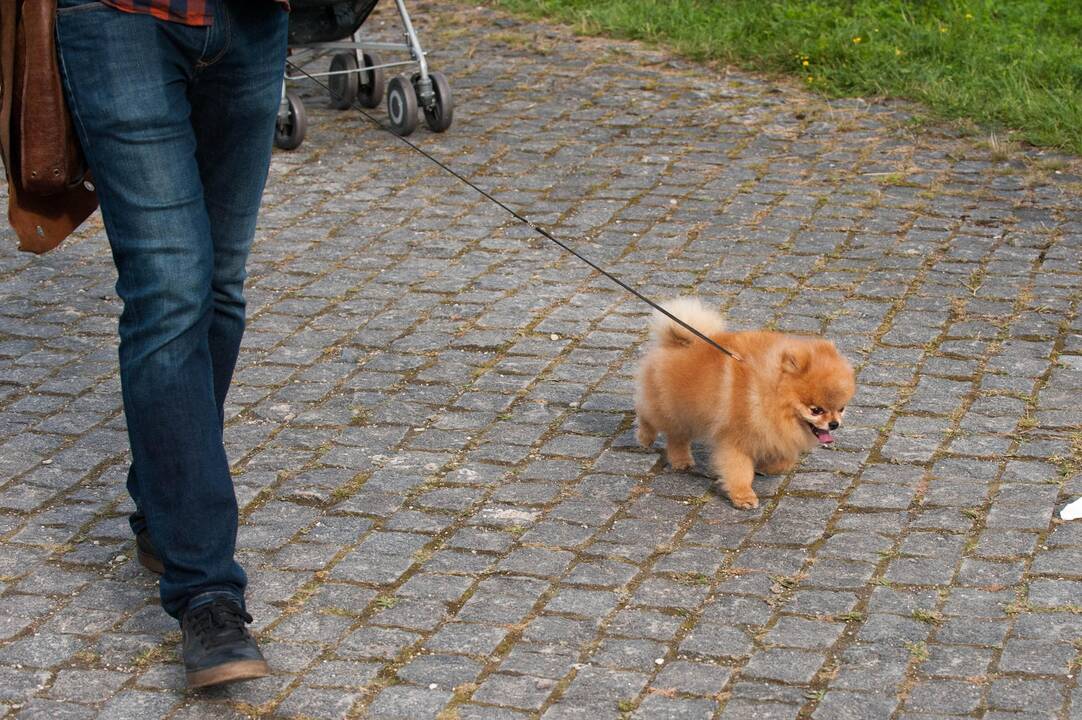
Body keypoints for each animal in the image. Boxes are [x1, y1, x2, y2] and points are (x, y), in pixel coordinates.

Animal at [631, 294, 852, 508]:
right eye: (816, 410)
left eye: (841, 409)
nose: (834, 424)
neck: (765, 393)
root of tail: (678, 340)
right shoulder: (735, 440)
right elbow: (739, 471)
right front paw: (743, 496)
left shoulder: (773, 435)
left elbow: (784, 461)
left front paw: (765, 467)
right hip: (665, 406)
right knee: (648, 415)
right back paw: (645, 437)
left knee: (677, 436)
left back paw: (681, 460)